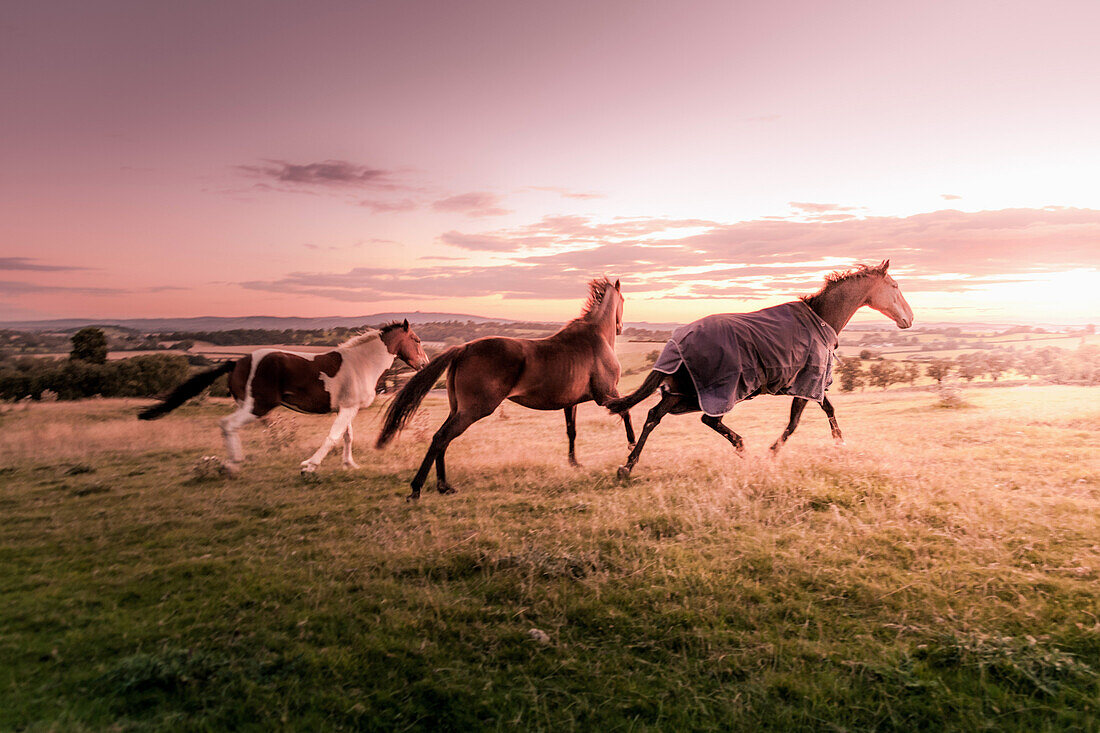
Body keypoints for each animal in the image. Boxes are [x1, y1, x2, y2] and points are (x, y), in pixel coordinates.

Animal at [138, 319, 429, 473]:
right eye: (416, 340)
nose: (425, 364)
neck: (362, 363)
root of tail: (236, 362)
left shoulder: (347, 409)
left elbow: (347, 436)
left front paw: (350, 464)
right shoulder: (347, 409)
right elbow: (334, 436)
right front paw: (309, 465)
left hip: (248, 405)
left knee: (229, 427)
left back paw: (234, 462)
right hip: (257, 406)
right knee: (227, 424)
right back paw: (233, 464)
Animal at [378, 277, 638, 499]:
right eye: (624, 300)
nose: (620, 327)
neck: (595, 338)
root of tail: (464, 348)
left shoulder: (571, 403)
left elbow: (571, 431)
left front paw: (575, 463)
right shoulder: (605, 394)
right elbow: (626, 412)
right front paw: (631, 446)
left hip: (457, 409)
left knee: (441, 438)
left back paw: (444, 486)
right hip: (474, 410)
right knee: (441, 437)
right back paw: (418, 489)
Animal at [607, 259, 915, 477]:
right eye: (895, 286)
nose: (910, 319)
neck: (820, 318)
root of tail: (678, 339)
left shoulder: (811, 385)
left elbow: (827, 409)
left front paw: (838, 443)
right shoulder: (807, 383)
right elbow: (795, 422)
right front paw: (773, 452)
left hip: (681, 391)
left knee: (653, 416)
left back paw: (627, 466)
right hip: (714, 392)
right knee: (707, 419)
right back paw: (743, 449)